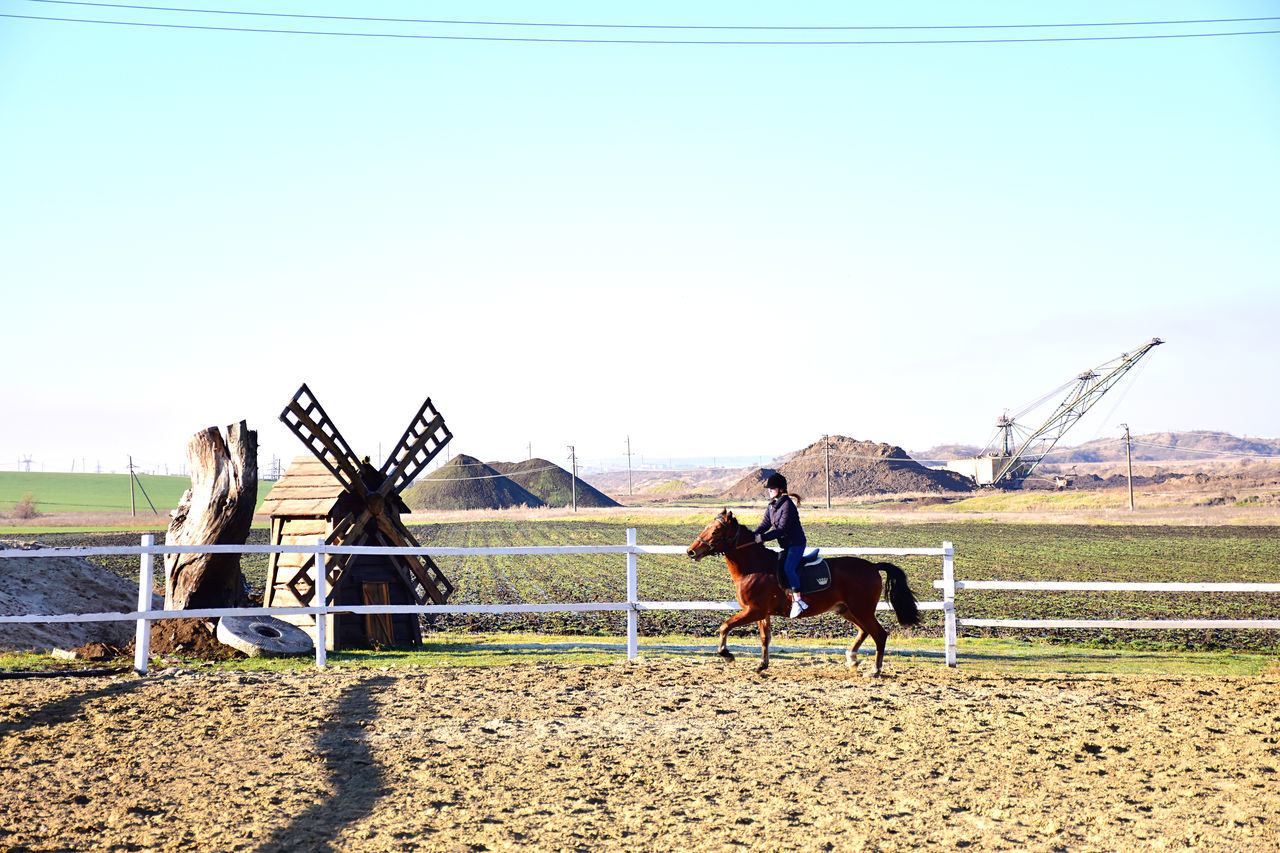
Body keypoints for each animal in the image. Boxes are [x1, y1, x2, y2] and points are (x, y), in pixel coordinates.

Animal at [691, 507, 921, 676]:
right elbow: (765, 638)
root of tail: (873, 566)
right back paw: (852, 660)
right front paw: (761, 665)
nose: (691, 551)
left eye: (715, 531)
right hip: (846, 609)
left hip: (862, 610)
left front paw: (727, 655)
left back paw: (874, 670)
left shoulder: (753, 611)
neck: (753, 566)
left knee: (879, 635)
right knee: (864, 631)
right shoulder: (761, 613)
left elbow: (725, 626)